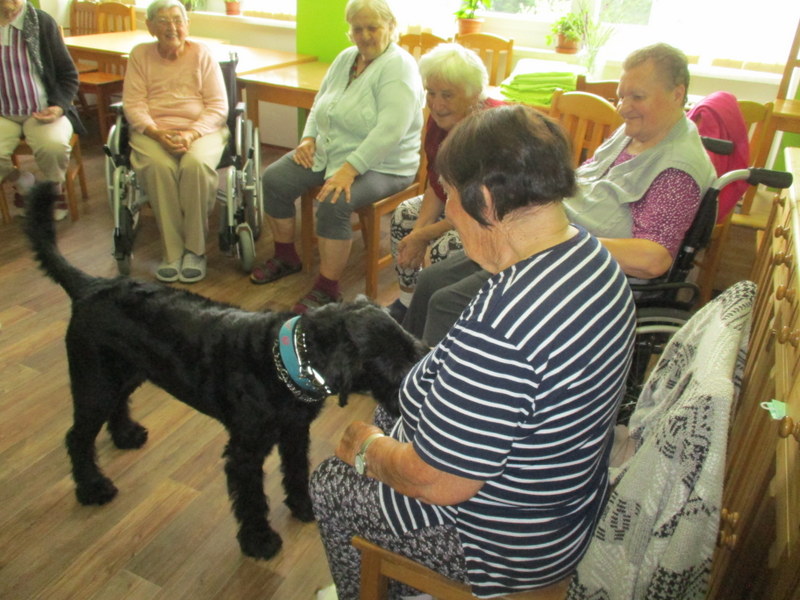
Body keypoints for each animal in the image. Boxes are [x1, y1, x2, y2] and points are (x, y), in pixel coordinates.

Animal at [25, 184, 426, 560]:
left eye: (410, 345)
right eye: (391, 362)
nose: (412, 405)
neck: (287, 361)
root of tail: (90, 285)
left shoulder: (294, 434)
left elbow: (296, 473)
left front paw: (303, 508)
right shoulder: (244, 453)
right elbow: (252, 500)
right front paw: (259, 540)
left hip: (123, 374)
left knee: (116, 407)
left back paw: (126, 435)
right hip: (94, 384)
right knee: (77, 438)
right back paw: (92, 487)